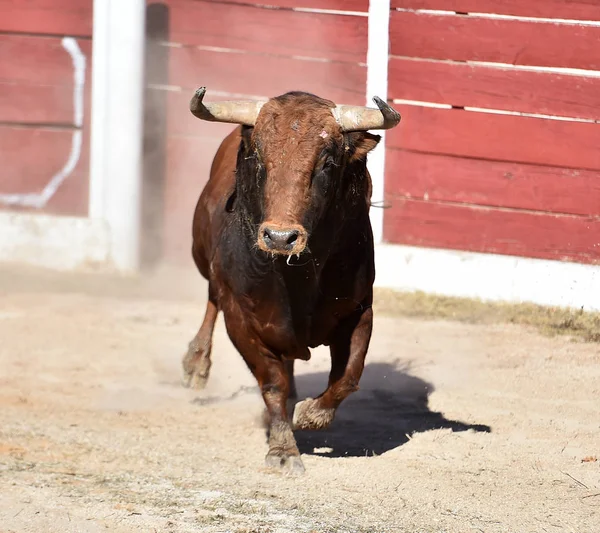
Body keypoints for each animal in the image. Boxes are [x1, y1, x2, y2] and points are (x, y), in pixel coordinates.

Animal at [180, 88, 400, 474]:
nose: (280, 238)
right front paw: (282, 449)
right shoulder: (242, 321)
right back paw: (196, 363)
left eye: (327, 163)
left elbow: (348, 377)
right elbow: (271, 383)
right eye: (259, 158)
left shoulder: (360, 311)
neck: (297, 279)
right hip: (202, 254)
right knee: (212, 297)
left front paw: (310, 414)